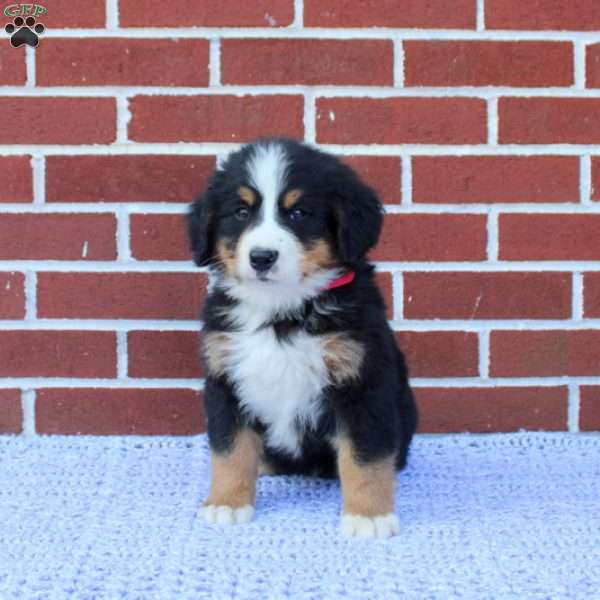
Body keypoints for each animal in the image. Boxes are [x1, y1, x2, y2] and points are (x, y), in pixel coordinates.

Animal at [189, 137, 418, 540]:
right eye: (241, 212)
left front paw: (369, 515)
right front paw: (226, 503)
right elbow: (230, 449)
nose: (262, 257)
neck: (282, 311)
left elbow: (366, 456)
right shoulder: (225, 377)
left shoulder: (362, 383)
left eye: (298, 213)